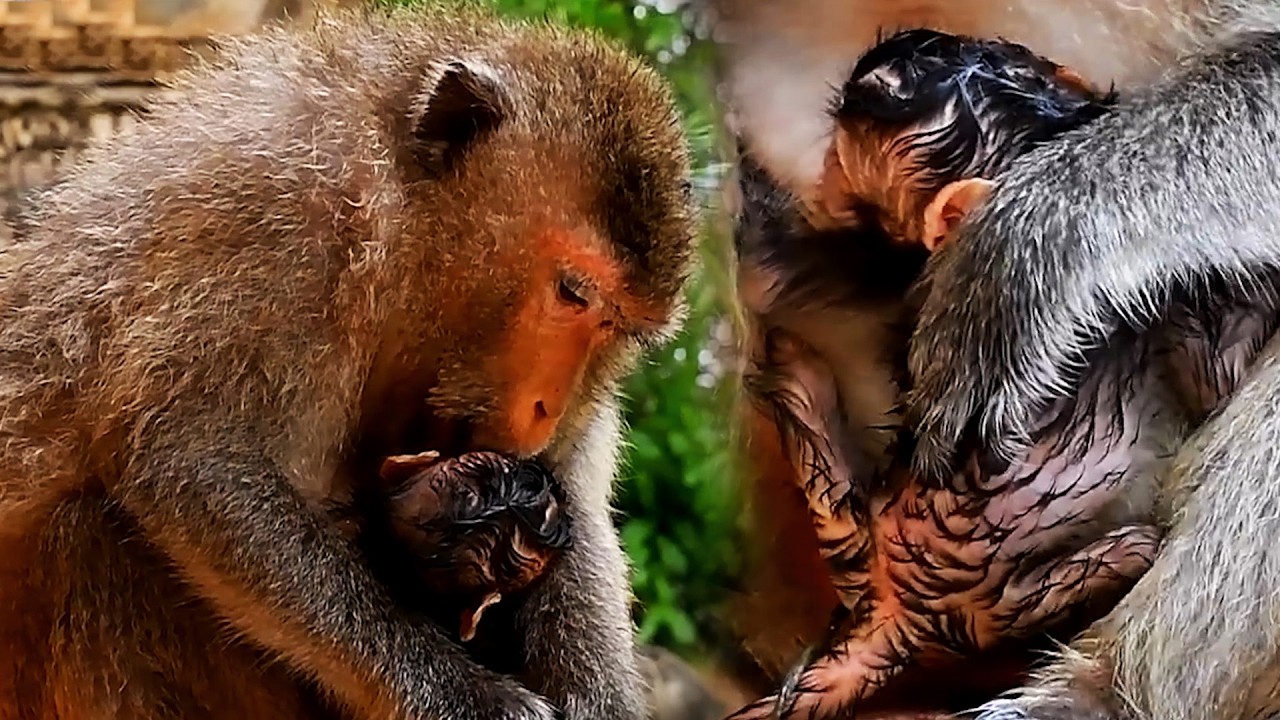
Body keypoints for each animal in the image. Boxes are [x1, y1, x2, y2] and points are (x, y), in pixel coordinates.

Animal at [0, 4, 697, 720]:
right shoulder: (280, 210)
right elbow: (187, 456)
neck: (407, 226)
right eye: (572, 293)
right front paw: (471, 696)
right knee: (88, 542)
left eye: (615, 324)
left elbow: (570, 500)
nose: (546, 407)